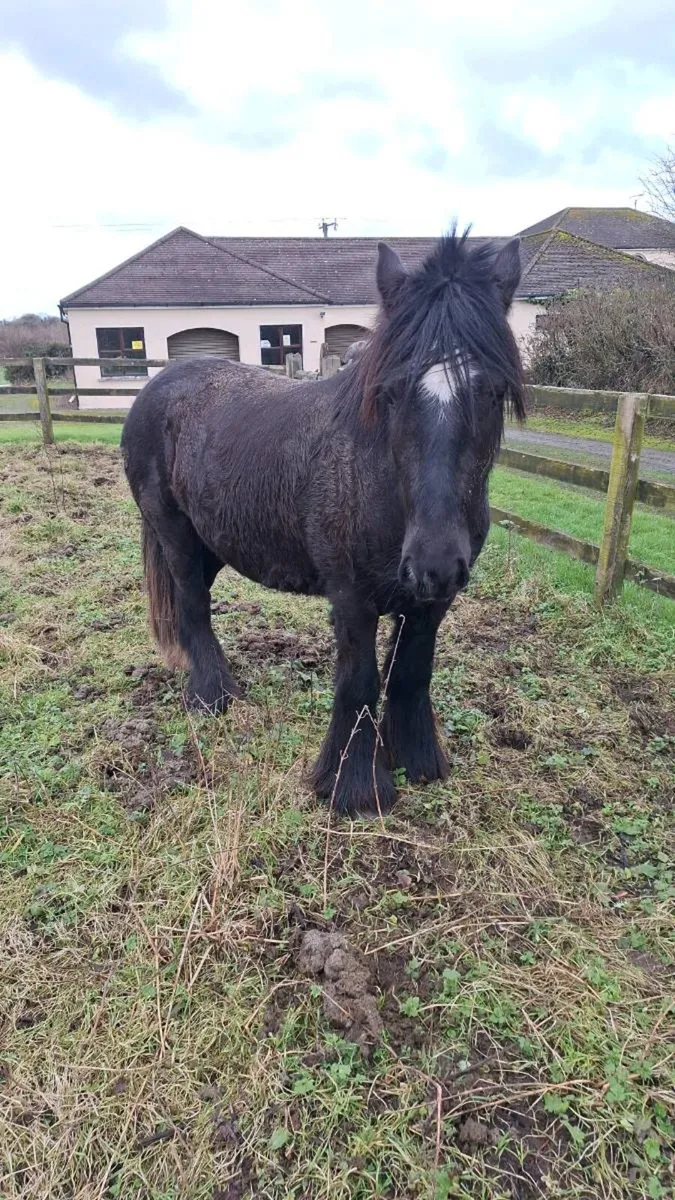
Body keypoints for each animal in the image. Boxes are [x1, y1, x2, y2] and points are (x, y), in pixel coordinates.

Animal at [121, 231, 525, 817]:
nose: (433, 559)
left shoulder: (432, 601)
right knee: (193, 604)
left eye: (493, 391)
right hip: (174, 534)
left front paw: (418, 760)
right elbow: (359, 683)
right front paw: (353, 787)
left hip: (212, 543)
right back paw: (212, 697)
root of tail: (158, 386)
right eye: (392, 391)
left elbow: (411, 673)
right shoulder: (352, 598)